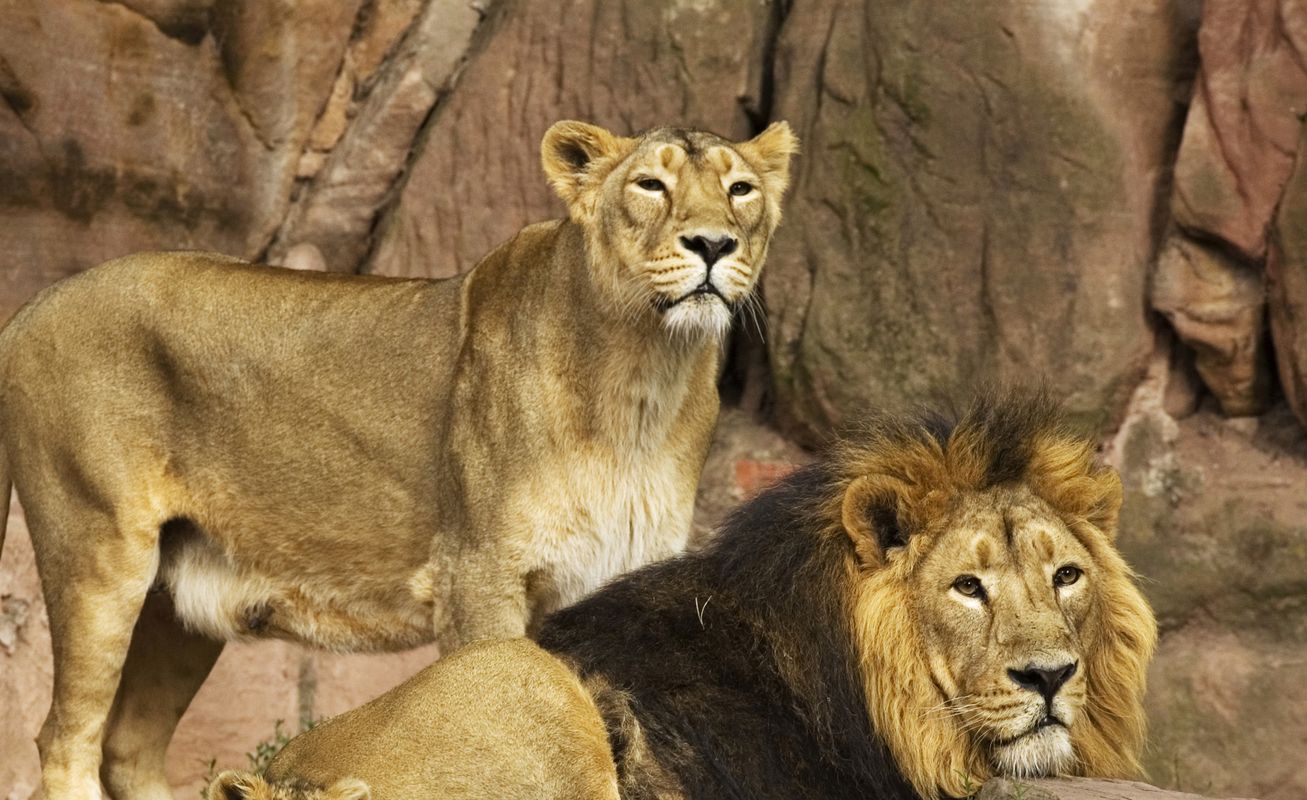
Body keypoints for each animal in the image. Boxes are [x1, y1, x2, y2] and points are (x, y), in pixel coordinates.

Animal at [0, 119, 798, 799]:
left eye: (740, 190)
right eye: (650, 185)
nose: (713, 245)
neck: (643, 376)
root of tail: (30, 305)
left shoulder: (620, 575)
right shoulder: (479, 574)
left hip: (181, 605)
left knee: (128, 746)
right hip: (98, 555)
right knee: (65, 743)